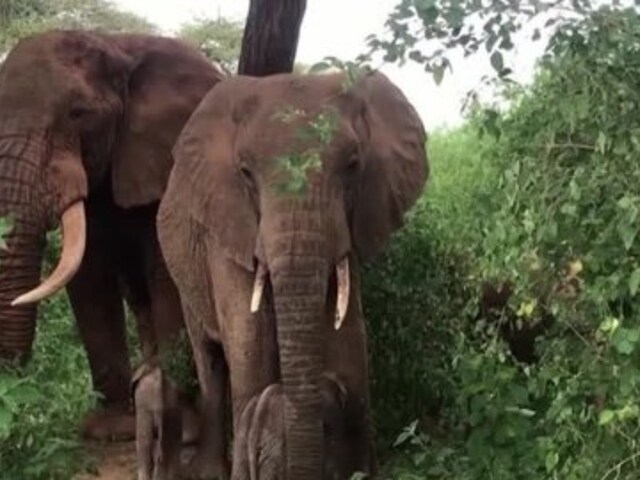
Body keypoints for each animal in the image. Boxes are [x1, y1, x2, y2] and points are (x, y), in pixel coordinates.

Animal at [0, 30, 224, 440]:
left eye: (78, 114)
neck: (115, 46)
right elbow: (88, 278)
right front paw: (111, 428)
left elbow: (166, 271)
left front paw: (181, 428)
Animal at [157, 70, 428, 479]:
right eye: (245, 172)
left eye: (353, 165)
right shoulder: (228, 228)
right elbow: (250, 346)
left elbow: (349, 336)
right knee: (210, 361)